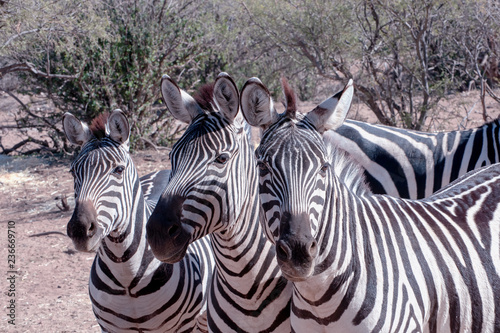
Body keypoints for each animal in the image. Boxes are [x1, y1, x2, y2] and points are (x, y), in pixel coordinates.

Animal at [61, 110, 214, 330]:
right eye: (73, 171)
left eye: (118, 170)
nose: (80, 229)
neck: (126, 276)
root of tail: (163, 171)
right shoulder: (109, 328)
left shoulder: (184, 325)